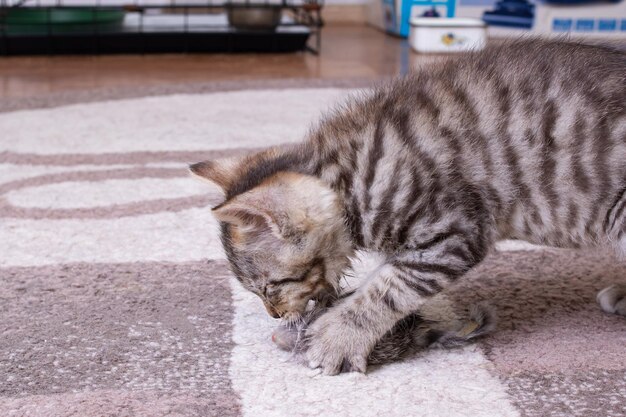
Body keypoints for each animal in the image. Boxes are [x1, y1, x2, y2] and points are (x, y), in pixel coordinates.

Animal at [191, 40, 624, 376]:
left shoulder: (452, 233)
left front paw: (337, 339)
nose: (274, 316)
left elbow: (387, 291)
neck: (349, 179)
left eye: (270, 287)